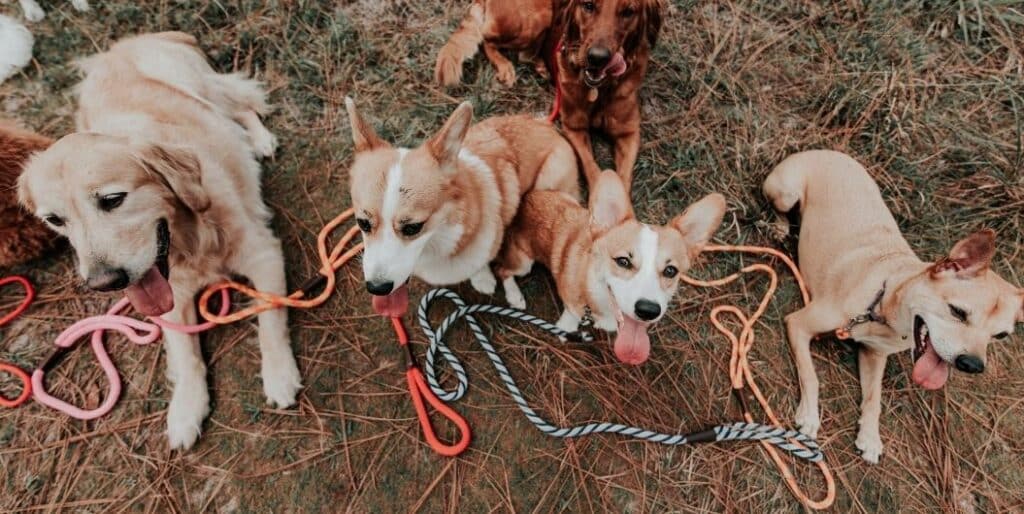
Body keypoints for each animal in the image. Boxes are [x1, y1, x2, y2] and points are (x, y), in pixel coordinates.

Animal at [19, 32, 296, 450]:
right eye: (54, 220)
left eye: (112, 199)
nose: (104, 282)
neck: (191, 240)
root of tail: (124, 44)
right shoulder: (172, 298)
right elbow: (186, 355)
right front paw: (186, 408)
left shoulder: (264, 253)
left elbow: (269, 318)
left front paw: (279, 374)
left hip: (201, 86)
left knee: (242, 106)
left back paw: (259, 140)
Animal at [348, 95, 581, 313]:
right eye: (362, 223)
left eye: (413, 227)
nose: (377, 288)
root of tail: (546, 125)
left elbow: (481, 264)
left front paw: (483, 279)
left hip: (547, 183)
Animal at [497, 170, 729, 362]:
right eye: (623, 261)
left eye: (670, 271)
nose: (648, 310)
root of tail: (526, 197)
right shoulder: (572, 304)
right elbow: (570, 317)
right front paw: (566, 330)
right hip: (524, 262)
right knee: (503, 270)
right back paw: (514, 296)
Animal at [765, 149, 1019, 464]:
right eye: (958, 311)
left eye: (1001, 336)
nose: (972, 365)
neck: (884, 305)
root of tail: (827, 151)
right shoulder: (798, 324)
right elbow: (811, 376)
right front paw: (810, 415)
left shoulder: (874, 354)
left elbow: (874, 399)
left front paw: (870, 438)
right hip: (785, 192)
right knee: (781, 210)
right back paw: (780, 227)